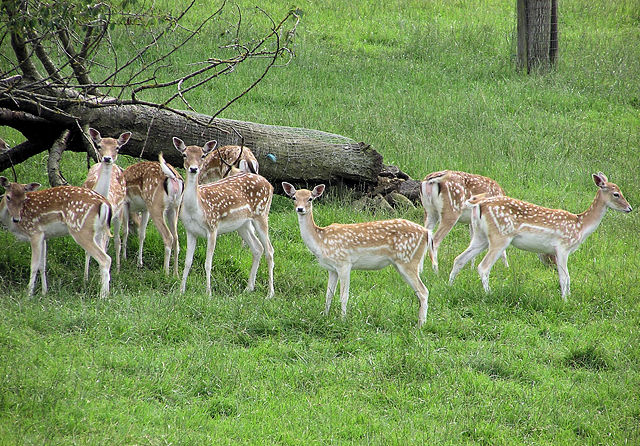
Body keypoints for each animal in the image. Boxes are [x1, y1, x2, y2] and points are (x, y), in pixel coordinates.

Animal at [171, 138, 274, 298]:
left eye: (202, 155)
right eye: (184, 154)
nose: (193, 169)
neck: (197, 208)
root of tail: (270, 185)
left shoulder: (212, 227)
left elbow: (208, 263)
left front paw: (208, 293)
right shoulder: (190, 231)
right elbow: (188, 262)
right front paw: (181, 290)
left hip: (262, 214)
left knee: (269, 250)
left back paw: (270, 293)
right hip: (242, 224)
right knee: (258, 248)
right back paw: (248, 288)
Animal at [282, 183, 428, 326]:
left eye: (310, 199)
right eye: (294, 197)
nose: (300, 209)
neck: (321, 241)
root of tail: (427, 233)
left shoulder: (344, 263)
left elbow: (344, 295)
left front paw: (342, 320)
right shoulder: (331, 269)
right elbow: (329, 294)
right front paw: (324, 316)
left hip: (408, 260)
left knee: (423, 291)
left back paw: (420, 326)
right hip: (401, 263)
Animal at [448, 172, 632, 300]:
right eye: (616, 194)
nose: (629, 208)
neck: (580, 225)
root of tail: (479, 205)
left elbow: (564, 277)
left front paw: (567, 297)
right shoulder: (563, 247)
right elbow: (565, 277)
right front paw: (565, 300)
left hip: (481, 237)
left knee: (459, 259)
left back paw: (450, 286)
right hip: (500, 236)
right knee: (483, 267)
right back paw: (489, 293)